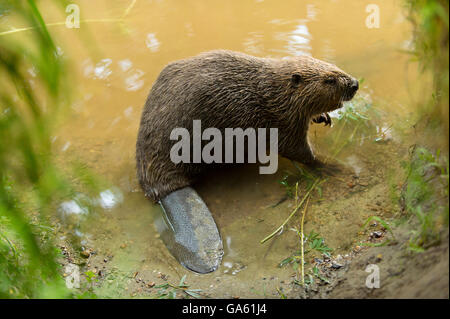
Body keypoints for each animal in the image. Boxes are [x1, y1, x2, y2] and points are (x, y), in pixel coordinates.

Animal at [135, 49, 356, 202]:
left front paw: (323, 118)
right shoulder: (280, 122)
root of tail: (163, 189)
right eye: (329, 80)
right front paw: (328, 166)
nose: (355, 84)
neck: (275, 92)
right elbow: (294, 149)